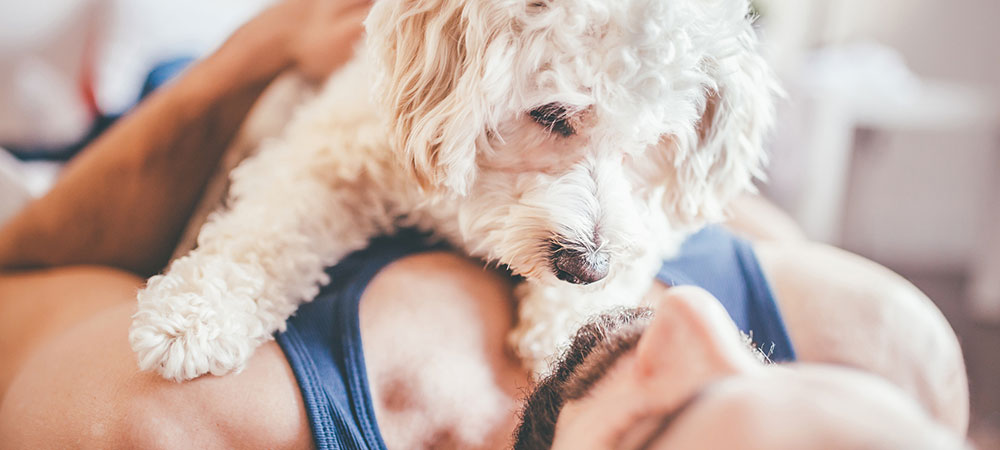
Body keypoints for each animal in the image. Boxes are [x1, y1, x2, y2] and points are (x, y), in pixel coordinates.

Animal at [129, 0, 776, 382]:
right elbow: (265, 232)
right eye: (552, 114)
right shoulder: (331, 152)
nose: (586, 266)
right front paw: (198, 314)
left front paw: (570, 329)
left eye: (653, 142)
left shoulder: (652, 216)